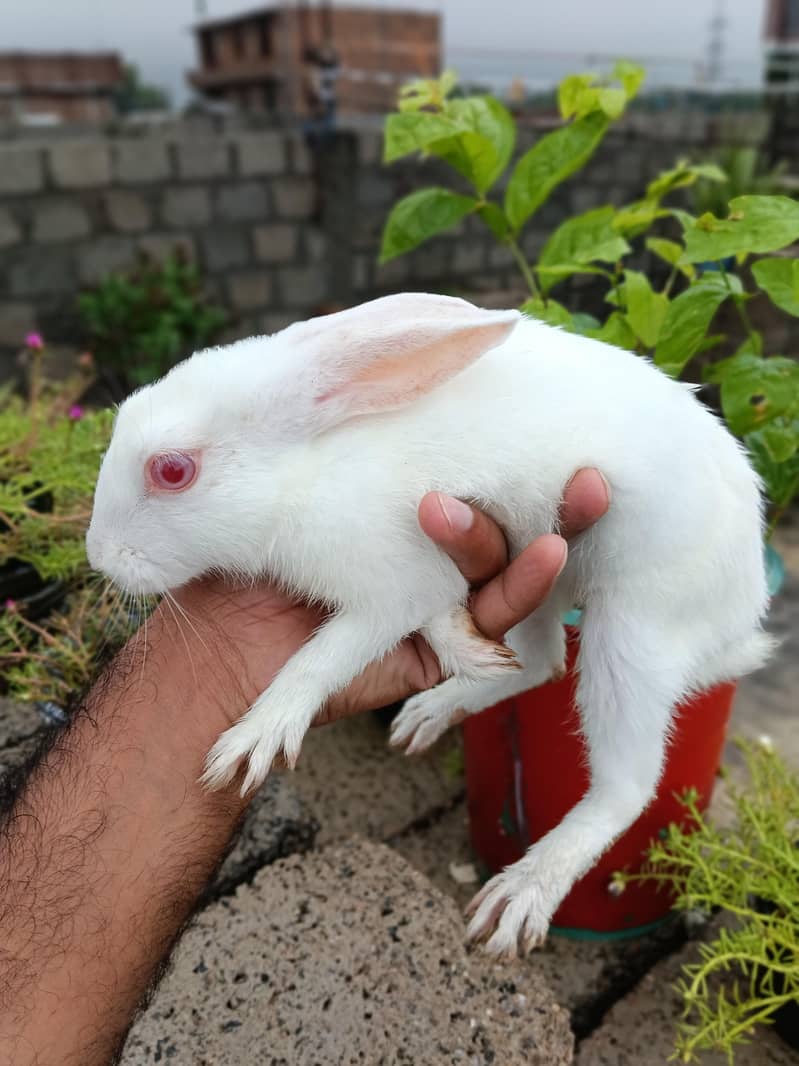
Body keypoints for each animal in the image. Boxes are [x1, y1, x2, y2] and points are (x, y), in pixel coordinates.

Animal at [86, 292, 774, 956]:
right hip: (548, 565)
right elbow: (440, 615)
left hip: (631, 630)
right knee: (542, 662)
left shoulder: (388, 591)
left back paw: (518, 897)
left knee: (627, 784)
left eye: (172, 470)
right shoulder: (437, 574)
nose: (100, 557)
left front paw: (252, 741)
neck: (305, 472)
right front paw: (462, 649)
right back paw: (436, 708)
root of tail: (744, 606)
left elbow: (319, 660)